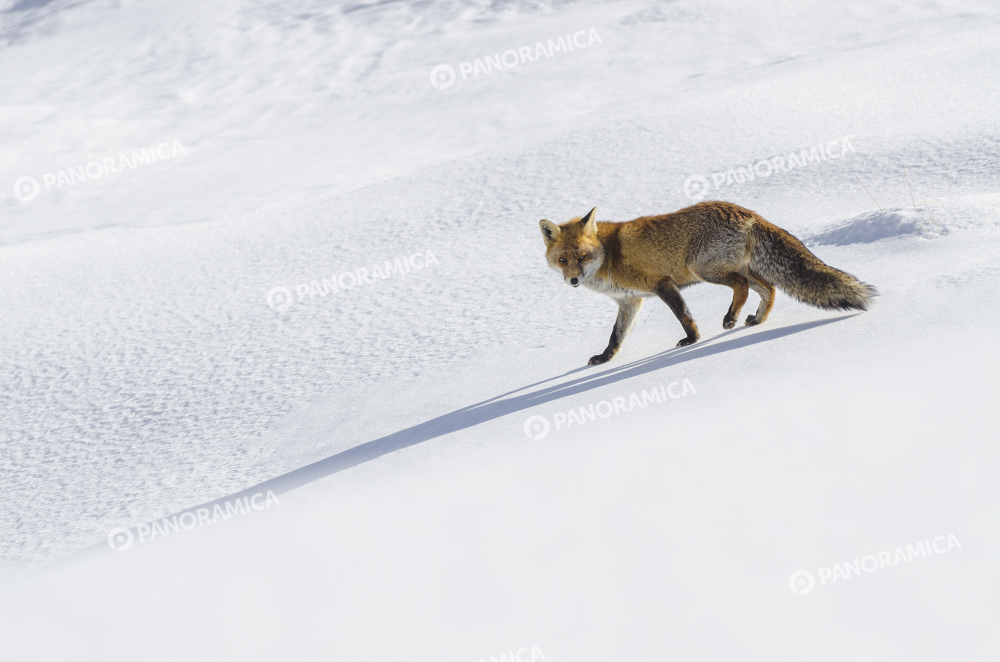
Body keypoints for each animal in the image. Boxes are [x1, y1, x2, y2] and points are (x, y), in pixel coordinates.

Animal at [539, 201, 877, 365]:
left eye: (582, 257)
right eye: (563, 260)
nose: (573, 280)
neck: (609, 254)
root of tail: (745, 211)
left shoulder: (661, 282)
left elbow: (684, 316)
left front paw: (692, 340)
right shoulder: (630, 301)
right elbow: (616, 337)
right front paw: (605, 358)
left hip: (703, 269)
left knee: (742, 286)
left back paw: (731, 317)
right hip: (737, 268)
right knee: (769, 288)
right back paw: (756, 320)